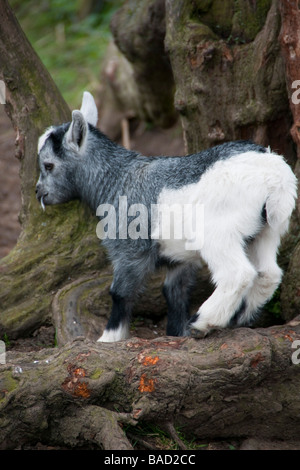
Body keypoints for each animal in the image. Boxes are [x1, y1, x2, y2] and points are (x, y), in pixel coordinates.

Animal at [36, 92, 296, 342]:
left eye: (48, 165)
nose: (39, 192)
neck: (117, 180)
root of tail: (274, 176)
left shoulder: (129, 248)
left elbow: (120, 292)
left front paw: (109, 337)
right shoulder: (180, 259)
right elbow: (174, 292)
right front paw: (176, 333)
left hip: (219, 231)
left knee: (238, 274)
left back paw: (203, 322)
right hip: (269, 229)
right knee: (268, 273)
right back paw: (238, 317)